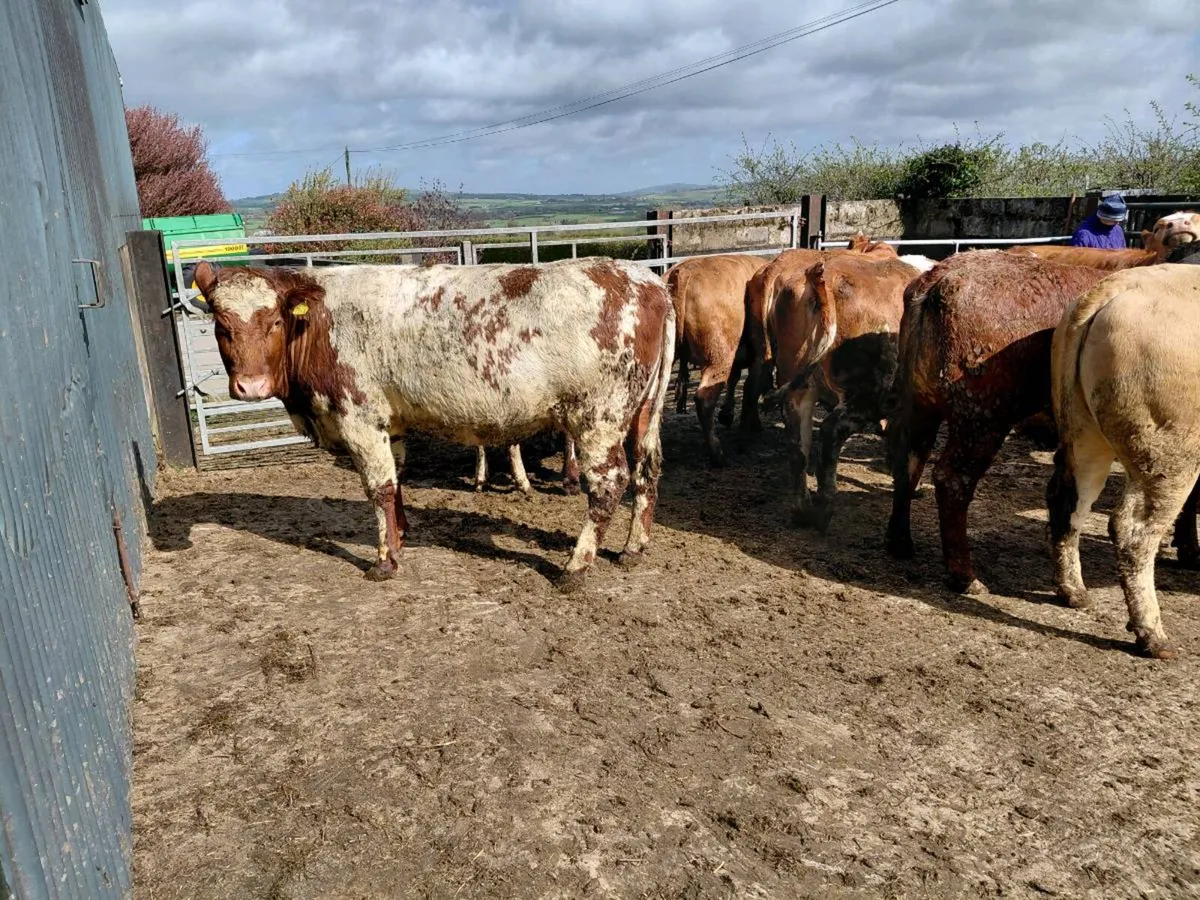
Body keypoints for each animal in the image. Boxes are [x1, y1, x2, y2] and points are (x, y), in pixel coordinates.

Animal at [192, 257, 675, 592]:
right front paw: (401, 536)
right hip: (643, 413)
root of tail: (647, 281)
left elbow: (378, 487)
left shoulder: (358, 417)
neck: (321, 323)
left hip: (598, 417)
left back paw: (575, 567)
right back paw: (633, 548)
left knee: (609, 484)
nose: (250, 386)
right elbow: (396, 479)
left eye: (273, 321)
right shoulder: (389, 421)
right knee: (647, 470)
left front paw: (385, 560)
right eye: (221, 326)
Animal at [665, 253, 770, 465]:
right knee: (704, 399)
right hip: (718, 357)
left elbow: (735, 380)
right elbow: (751, 388)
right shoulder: (759, 357)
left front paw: (727, 414)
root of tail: (682, 271)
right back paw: (717, 453)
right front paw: (752, 423)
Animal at [763, 253, 921, 528]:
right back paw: (824, 509)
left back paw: (802, 509)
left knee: (797, 445)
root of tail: (818, 277)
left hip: (798, 387)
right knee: (830, 432)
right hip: (866, 395)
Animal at [884, 251, 1112, 593]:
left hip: (920, 406)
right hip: (982, 420)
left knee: (910, 462)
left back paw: (900, 542)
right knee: (952, 479)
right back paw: (965, 576)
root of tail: (939, 281)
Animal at [1047, 264, 1200, 659]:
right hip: (1170, 454)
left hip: (1086, 433)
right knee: (1134, 534)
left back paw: (1073, 591)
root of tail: (1110, 290)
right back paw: (1152, 635)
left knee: (1069, 501)